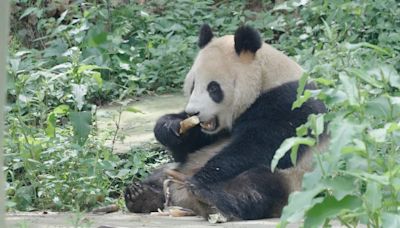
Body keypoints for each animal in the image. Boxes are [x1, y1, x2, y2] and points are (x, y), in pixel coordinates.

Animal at [125, 24, 328, 220]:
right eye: (193, 85)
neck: (267, 80)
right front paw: (170, 127)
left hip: (295, 182)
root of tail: (183, 201)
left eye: (213, 88)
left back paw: (208, 198)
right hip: (178, 169)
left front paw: (203, 177)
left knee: (256, 185)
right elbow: (186, 148)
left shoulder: (289, 105)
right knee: (160, 173)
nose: (193, 111)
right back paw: (141, 194)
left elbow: (260, 148)